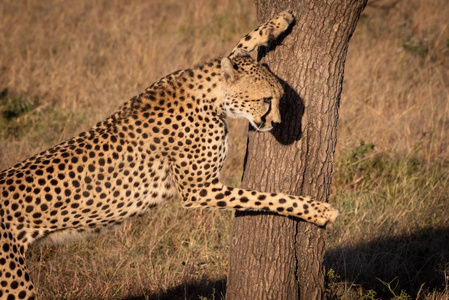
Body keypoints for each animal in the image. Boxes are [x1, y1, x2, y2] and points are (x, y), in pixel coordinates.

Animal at [0, 10, 336, 298]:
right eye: (266, 100)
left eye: (278, 98)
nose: (276, 123)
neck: (210, 97)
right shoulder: (198, 190)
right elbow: (266, 197)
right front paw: (318, 211)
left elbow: (235, 49)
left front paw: (278, 22)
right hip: (14, 283)